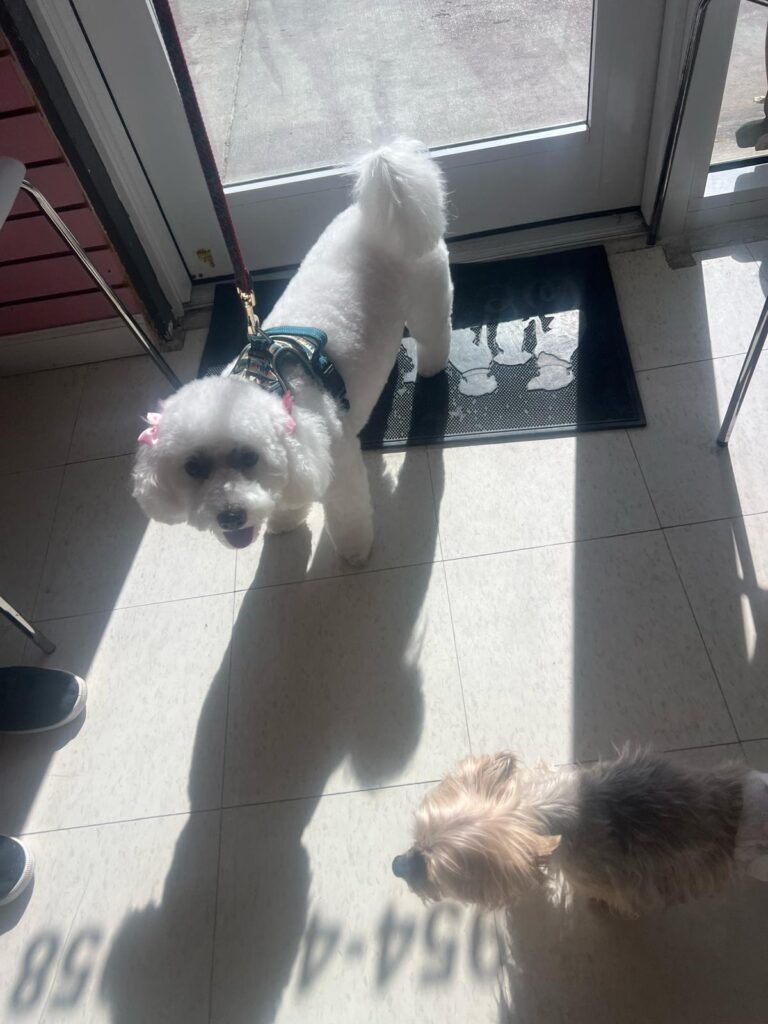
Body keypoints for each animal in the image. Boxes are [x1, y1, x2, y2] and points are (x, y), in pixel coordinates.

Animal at [132, 140, 452, 563]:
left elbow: (347, 512)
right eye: (193, 468)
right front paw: (284, 521)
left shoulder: (335, 463)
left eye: (249, 457)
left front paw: (354, 551)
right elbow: (286, 499)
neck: (265, 379)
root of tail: (380, 206)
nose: (231, 515)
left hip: (427, 297)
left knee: (434, 334)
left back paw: (431, 367)